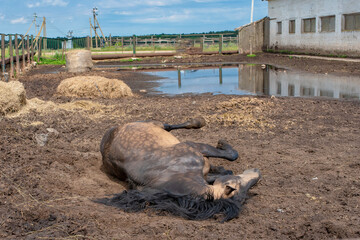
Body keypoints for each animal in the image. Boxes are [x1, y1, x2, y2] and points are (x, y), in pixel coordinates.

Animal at [97, 117, 262, 221]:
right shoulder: (195, 146)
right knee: (169, 125)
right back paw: (198, 121)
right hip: (154, 123)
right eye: (238, 183)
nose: (258, 173)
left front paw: (219, 169)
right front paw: (222, 144)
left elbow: (221, 172)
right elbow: (231, 155)